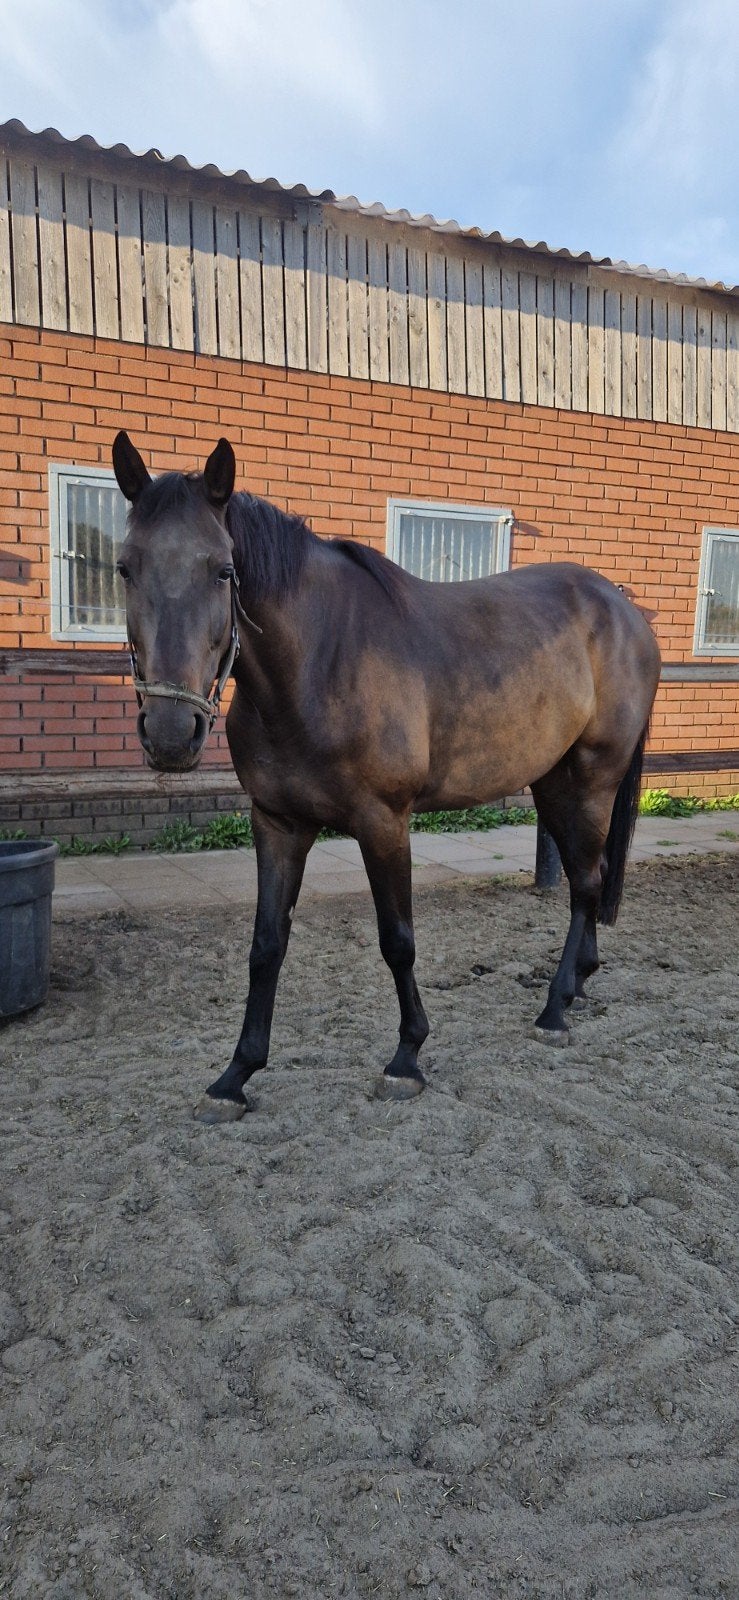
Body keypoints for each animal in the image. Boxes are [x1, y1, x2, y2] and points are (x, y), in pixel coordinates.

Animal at [112, 432, 661, 1123]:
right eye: (124, 568)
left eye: (224, 570)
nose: (168, 731)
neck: (317, 664)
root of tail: (624, 611)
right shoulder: (277, 824)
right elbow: (266, 945)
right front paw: (236, 1075)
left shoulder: (383, 823)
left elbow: (397, 939)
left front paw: (407, 1058)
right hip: (553, 783)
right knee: (590, 877)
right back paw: (580, 984)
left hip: (592, 779)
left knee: (586, 884)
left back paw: (556, 1009)